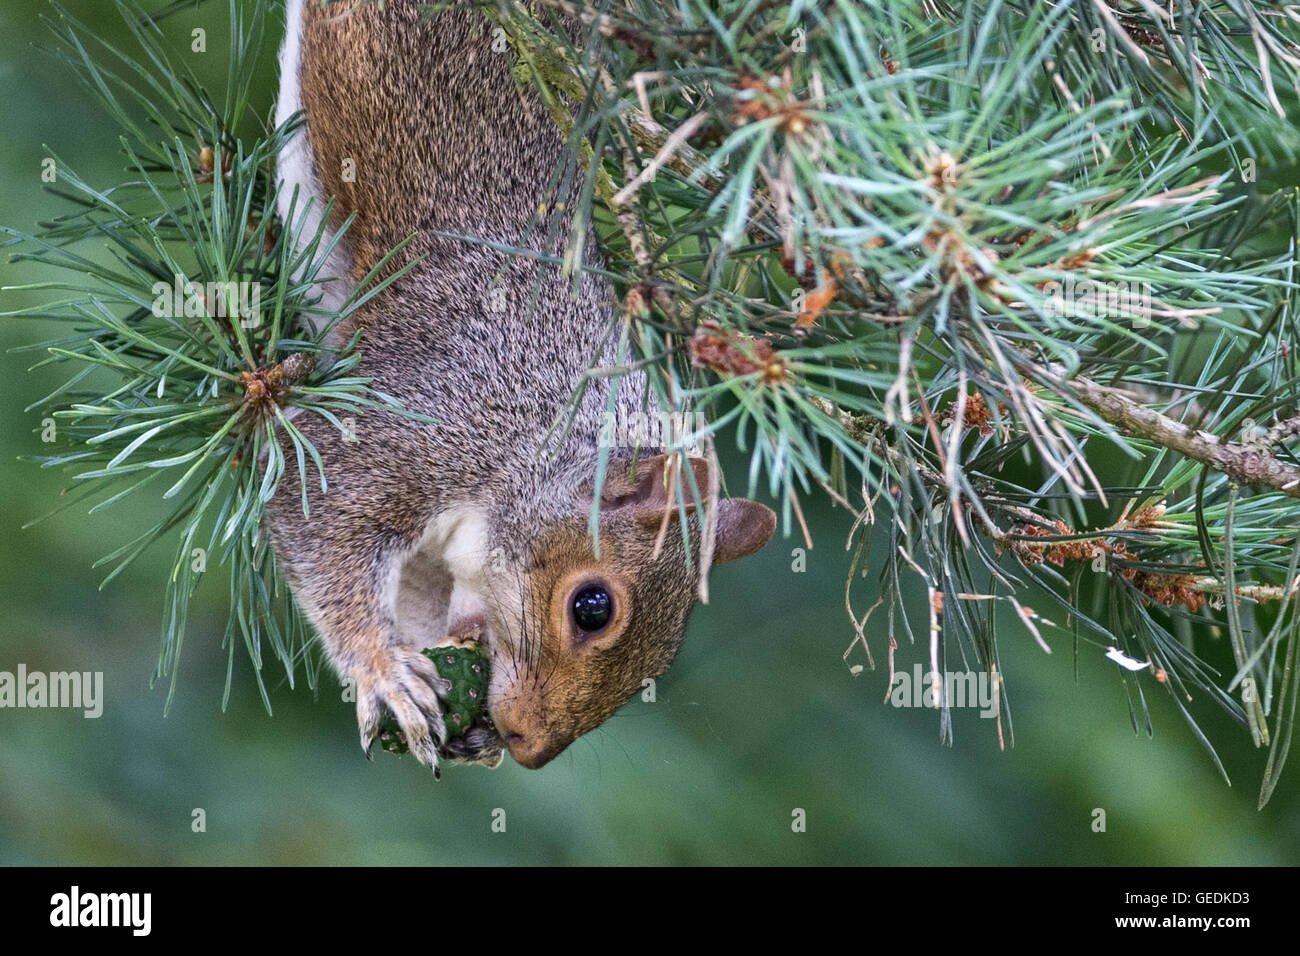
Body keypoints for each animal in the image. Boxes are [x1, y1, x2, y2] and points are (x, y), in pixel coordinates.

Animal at [268, 0, 775, 773]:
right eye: (592, 607)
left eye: (664, 657)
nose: (530, 748)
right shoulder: (422, 424)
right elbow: (314, 509)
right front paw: (383, 671)